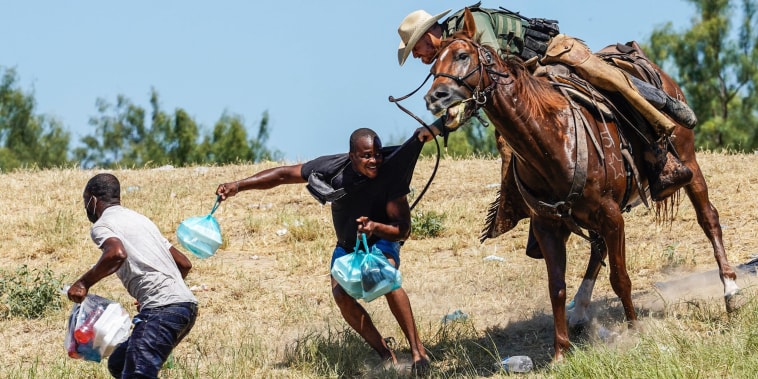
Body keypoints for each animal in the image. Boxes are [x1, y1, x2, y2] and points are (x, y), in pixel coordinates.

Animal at [428, 8, 744, 364]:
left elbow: (620, 278)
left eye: (463, 55)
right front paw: (560, 352)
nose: (435, 97)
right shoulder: (548, 225)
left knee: (708, 218)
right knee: (598, 249)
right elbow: (556, 286)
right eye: (433, 66)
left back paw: (731, 291)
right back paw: (579, 311)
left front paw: (635, 331)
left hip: (688, 161)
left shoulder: (611, 215)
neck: (551, 137)